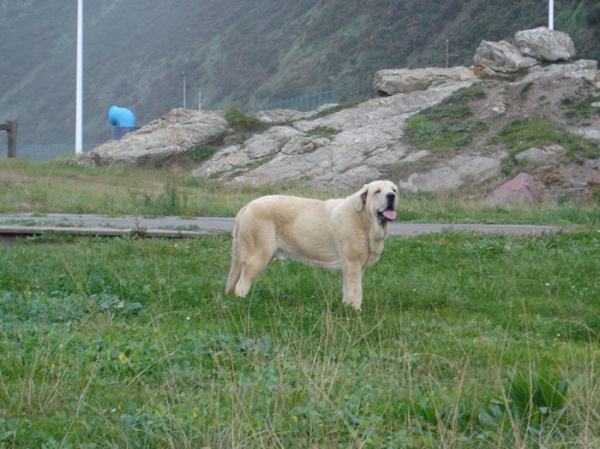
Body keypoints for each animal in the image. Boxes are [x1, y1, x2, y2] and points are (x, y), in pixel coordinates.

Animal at [225, 178, 398, 308]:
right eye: (377, 191)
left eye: (394, 190)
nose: (391, 196)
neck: (365, 220)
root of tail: (246, 207)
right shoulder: (352, 264)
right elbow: (356, 293)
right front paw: (356, 314)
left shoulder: (354, 268)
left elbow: (348, 291)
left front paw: (347, 309)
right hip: (258, 257)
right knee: (241, 286)